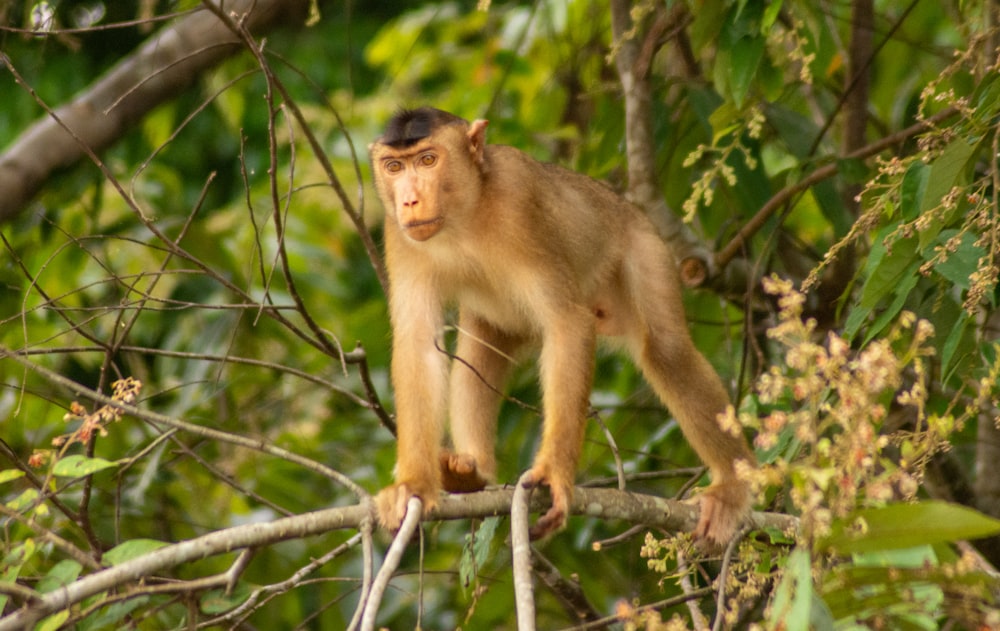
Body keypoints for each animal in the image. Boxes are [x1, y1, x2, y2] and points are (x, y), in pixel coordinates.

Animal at [372, 106, 752, 544]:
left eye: (428, 160)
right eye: (395, 167)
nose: (409, 199)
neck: (463, 215)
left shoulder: (520, 201)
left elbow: (567, 321)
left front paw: (553, 474)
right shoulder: (399, 237)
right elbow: (417, 346)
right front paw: (414, 485)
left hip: (643, 247)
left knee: (666, 350)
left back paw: (733, 487)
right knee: (481, 354)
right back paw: (472, 472)